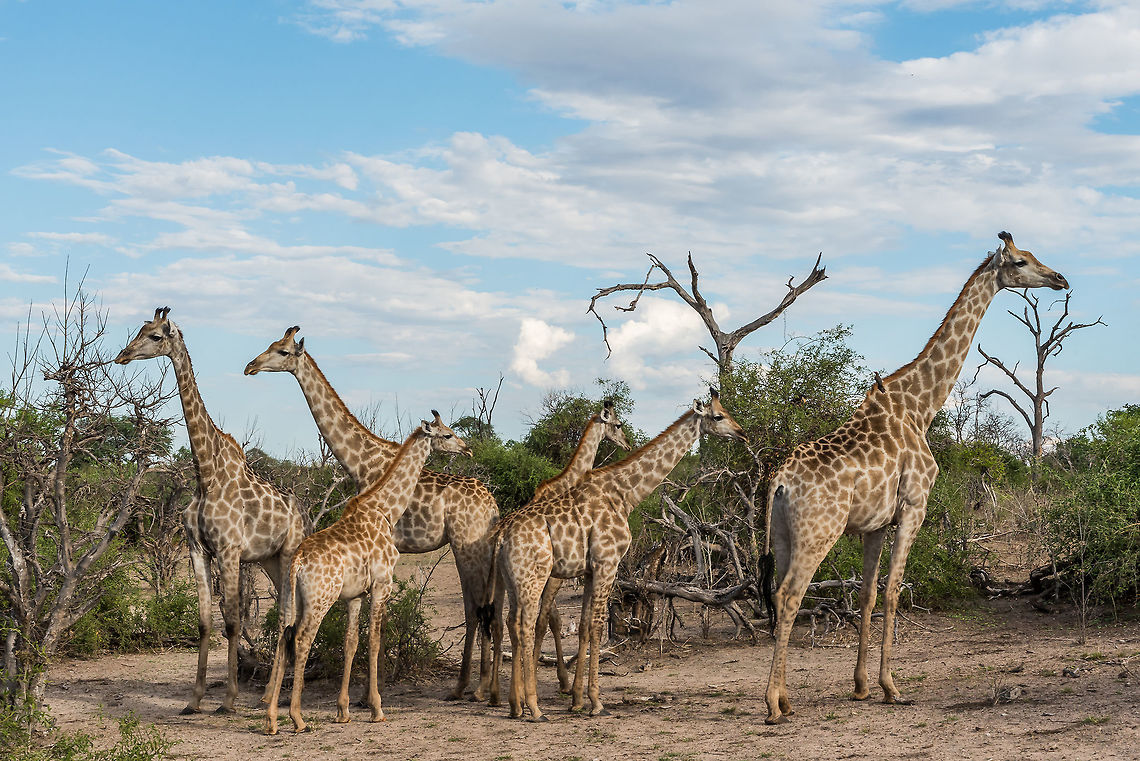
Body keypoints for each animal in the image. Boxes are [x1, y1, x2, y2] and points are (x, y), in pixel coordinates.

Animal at [114, 307, 306, 715]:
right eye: (140, 329)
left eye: (155, 336)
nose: (123, 355)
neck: (207, 476)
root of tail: (302, 515)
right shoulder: (197, 549)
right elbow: (205, 622)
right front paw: (195, 699)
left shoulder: (229, 551)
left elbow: (231, 622)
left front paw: (228, 700)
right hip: (270, 560)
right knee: (287, 614)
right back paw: (269, 693)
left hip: (289, 553)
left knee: (289, 615)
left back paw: (276, 694)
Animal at [244, 327, 500, 700]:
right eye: (270, 344)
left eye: (281, 351)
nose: (250, 366)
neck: (360, 460)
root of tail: (492, 503)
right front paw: (366, 693)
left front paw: (367, 696)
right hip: (474, 545)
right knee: (486, 602)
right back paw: (477, 686)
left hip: (467, 543)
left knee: (476, 604)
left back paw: (473, 687)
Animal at [263, 412, 471, 735]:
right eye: (447, 434)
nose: (467, 448)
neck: (385, 510)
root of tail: (298, 561)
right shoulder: (382, 583)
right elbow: (374, 639)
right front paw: (376, 708)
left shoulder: (355, 595)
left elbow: (351, 643)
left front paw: (343, 710)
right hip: (320, 599)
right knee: (301, 639)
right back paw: (297, 718)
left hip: (290, 597)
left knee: (284, 636)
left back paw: (272, 719)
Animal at [762, 232, 1067, 724]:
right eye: (1021, 261)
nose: (1060, 278)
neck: (920, 407)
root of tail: (779, 482)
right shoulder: (914, 507)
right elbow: (893, 592)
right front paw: (891, 687)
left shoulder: (873, 524)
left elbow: (867, 594)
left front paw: (861, 686)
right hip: (819, 532)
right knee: (791, 596)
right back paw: (772, 705)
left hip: (784, 533)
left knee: (776, 593)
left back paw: (786, 697)